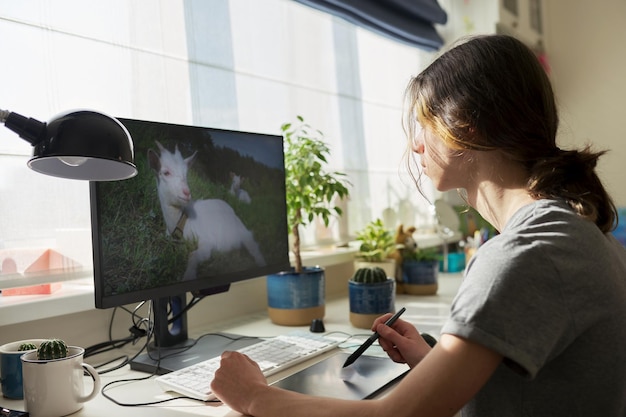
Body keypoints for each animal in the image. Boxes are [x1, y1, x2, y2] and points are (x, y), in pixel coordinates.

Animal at [149, 141, 266, 282]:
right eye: (166, 172)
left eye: (186, 174)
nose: (187, 193)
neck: (182, 222)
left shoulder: (207, 242)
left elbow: (193, 255)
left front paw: (189, 275)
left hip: (242, 230)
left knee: (253, 246)